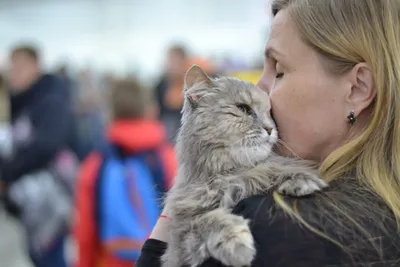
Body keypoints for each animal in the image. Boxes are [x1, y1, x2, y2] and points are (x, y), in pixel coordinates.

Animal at [162, 66, 328, 267]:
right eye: (243, 109)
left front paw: (302, 181)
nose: (270, 129)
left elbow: (275, 171)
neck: (231, 174)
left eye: (270, 114)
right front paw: (237, 245)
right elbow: (208, 220)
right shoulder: (180, 237)